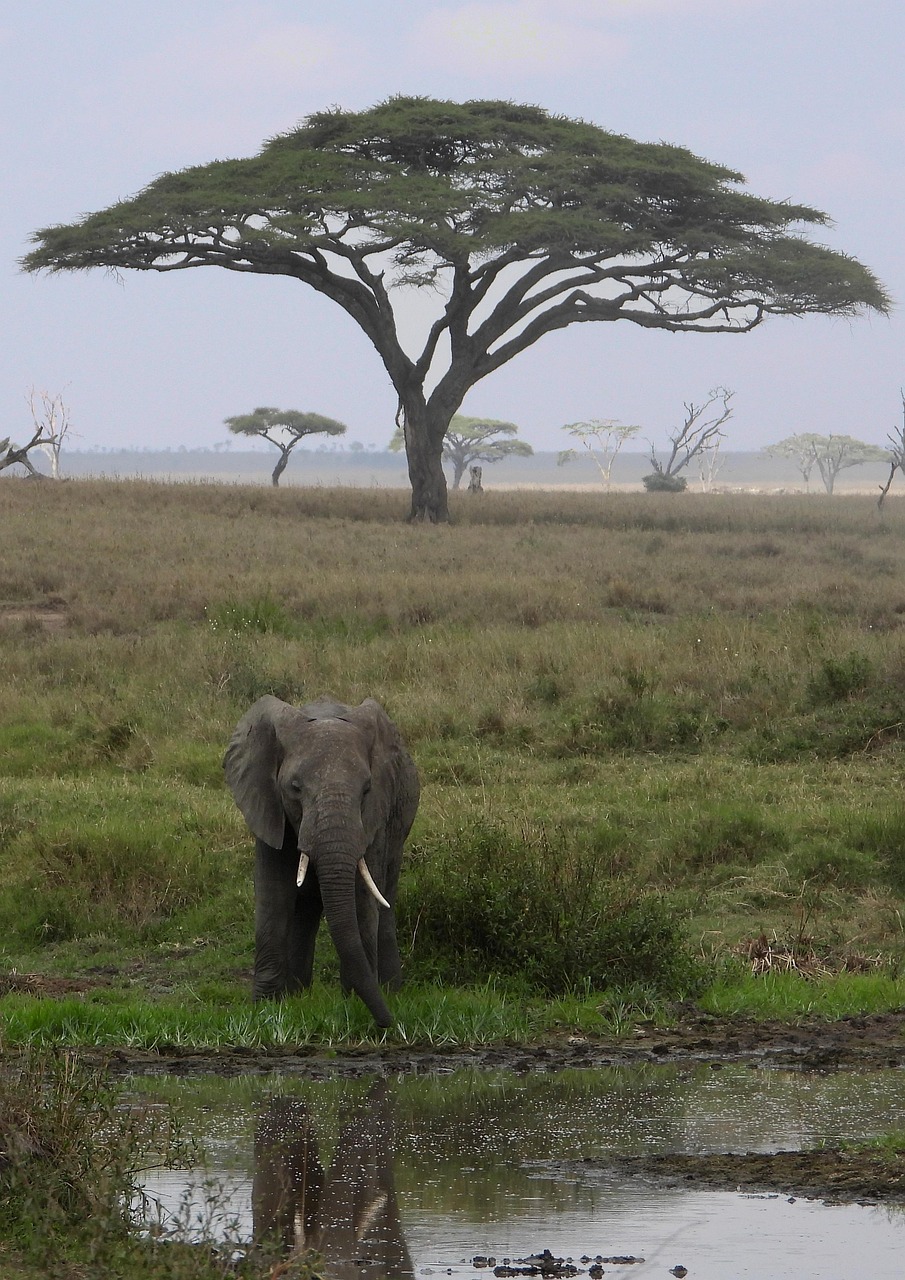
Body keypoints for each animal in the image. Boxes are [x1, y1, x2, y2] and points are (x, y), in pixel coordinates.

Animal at [224, 695, 419, 1027]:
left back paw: (390, 990)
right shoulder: (268, 805)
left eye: (366, 790)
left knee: (385, 895)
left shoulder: (374, 818)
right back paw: (298, 994)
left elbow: (363, 896)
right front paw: (265, 1008)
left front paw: (352, 1002)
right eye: (295, 787)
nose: (390, 1024)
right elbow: (273, 892)